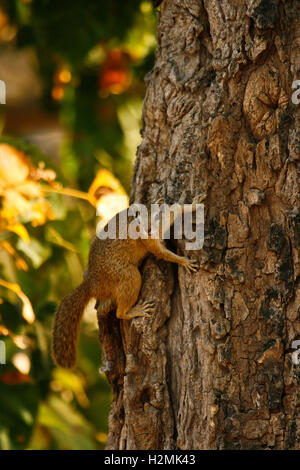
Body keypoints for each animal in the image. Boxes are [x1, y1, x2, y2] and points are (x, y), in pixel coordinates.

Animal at [52, 204, 199, 370]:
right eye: (138, 222)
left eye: (157, 216)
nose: (147, 230)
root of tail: (92, 283)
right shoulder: (149, 242)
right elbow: (163, 254)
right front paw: (184, 261)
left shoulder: (169, 214)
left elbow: (178, 208)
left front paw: (196, 204)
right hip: (128, 276)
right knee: (119, 313)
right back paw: (135, 310)